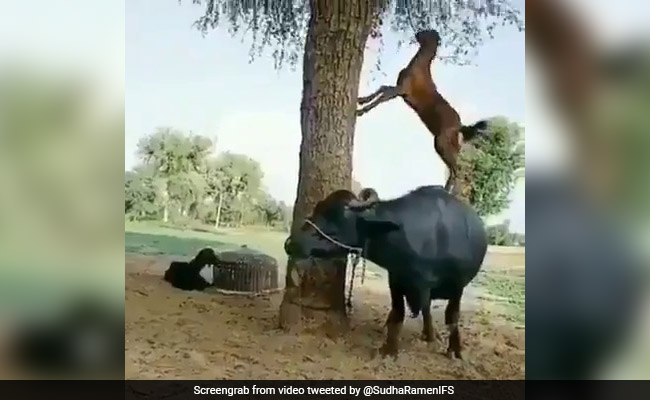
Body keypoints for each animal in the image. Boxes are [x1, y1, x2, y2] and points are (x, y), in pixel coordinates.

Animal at [357, 29, 489, 193]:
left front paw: (361, 111)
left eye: (427, 32)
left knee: (456, 169)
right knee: (457, 168)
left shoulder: (402, 89)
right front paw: (361, 100)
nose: (417, 33)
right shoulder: (399, 91)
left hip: (441, 143)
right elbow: (382, 89)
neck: (419, 65)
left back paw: (447, 190)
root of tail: (460, 126)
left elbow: (382, 97)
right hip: (451, 145)